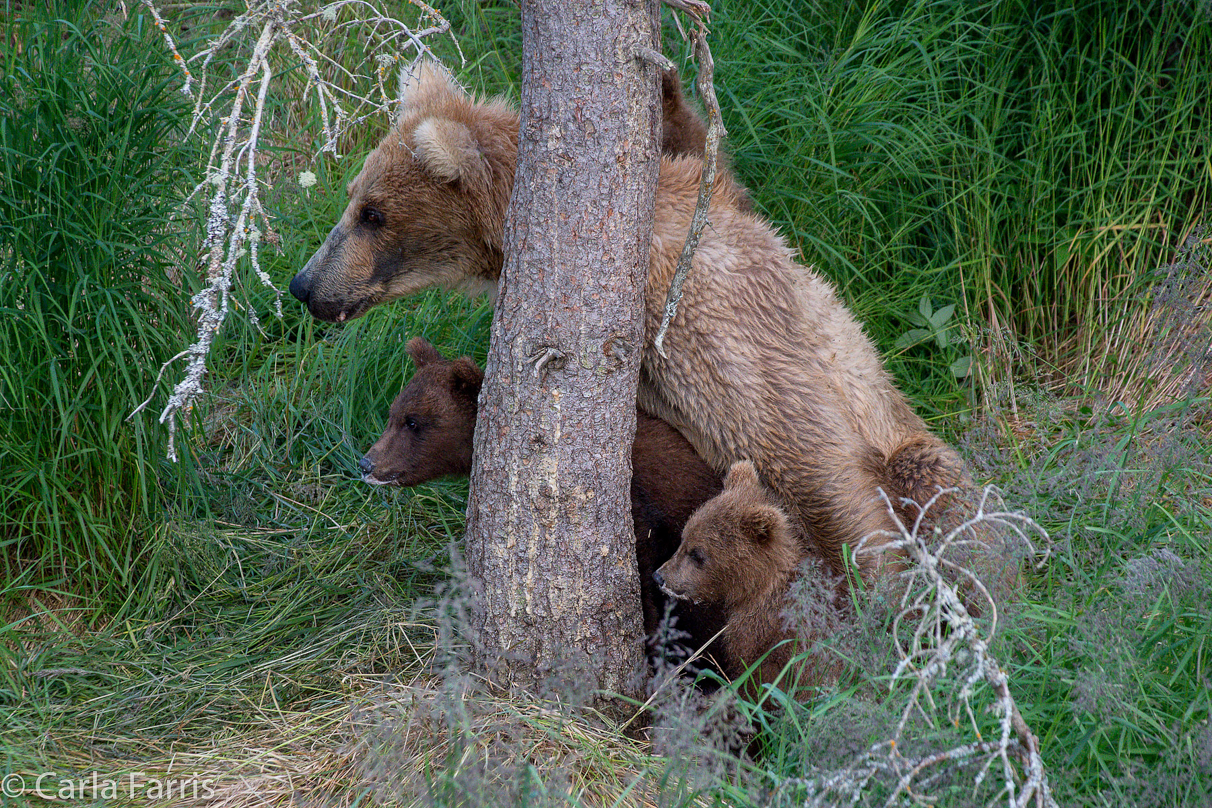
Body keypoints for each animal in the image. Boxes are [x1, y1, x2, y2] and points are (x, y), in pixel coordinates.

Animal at [293, 64, 964, 581]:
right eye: (353, 196)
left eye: (372, 213)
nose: (305, 285)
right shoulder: (711, 197)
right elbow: (702, 149)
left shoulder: (703, 315)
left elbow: (800, 453)